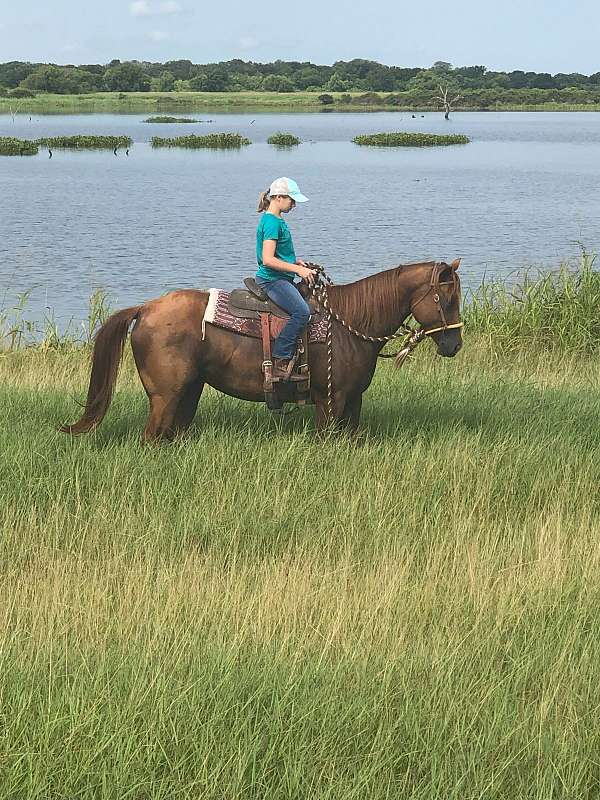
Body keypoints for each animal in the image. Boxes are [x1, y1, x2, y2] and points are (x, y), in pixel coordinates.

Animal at [62, 260, 464, 440]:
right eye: (445, 299)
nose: (454, 344)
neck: (349, 324)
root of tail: (145, 308)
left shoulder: (353, 401)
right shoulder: (329, 400)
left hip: (188, 392)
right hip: (165, 395)